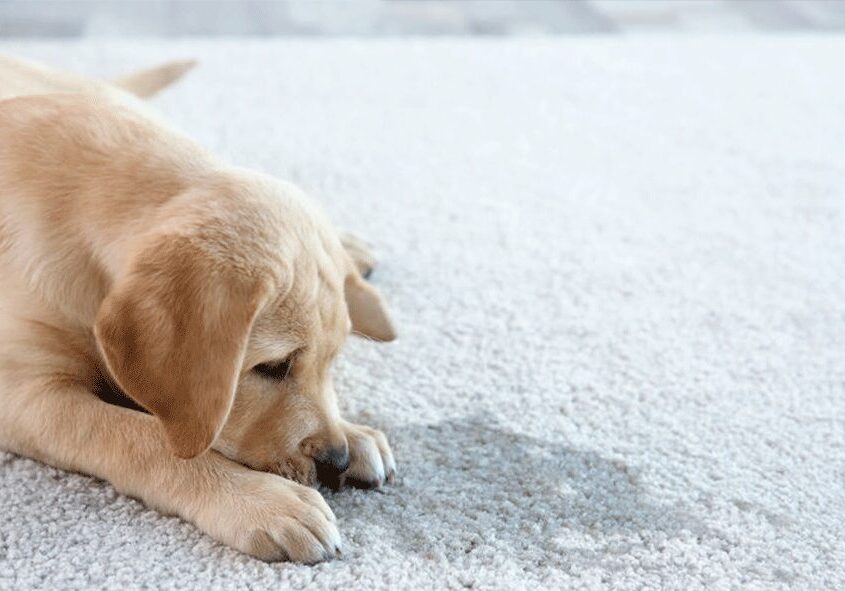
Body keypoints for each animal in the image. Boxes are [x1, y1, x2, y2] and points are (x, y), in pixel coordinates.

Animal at [0, 55, 398, 564]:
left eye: (332, 362)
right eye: (272, 367)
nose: (337, 460)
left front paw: (356, 431)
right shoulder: (27, 394)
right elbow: (139, 435)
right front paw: (259, 499)